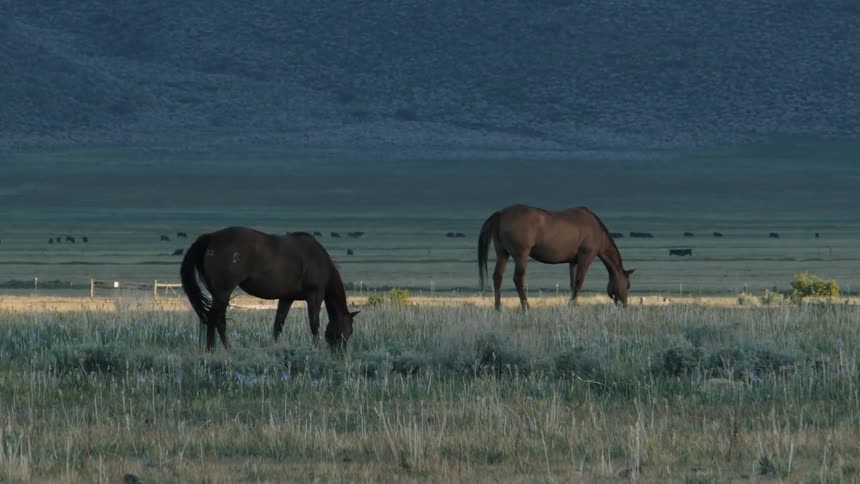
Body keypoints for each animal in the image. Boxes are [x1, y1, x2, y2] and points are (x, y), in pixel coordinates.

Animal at [180, 227, 359, 352]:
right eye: (348, 331)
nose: (341, 353)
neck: (320, 262)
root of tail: (211, 237)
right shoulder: (314, 296)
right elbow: (314, 324)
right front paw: (316, 349)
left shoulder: (287, 298)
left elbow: (278, 325)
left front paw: (273, 347)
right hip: (223, 292)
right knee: (214, 318)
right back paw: (216, 349)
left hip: (219, 294)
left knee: (217, 319)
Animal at [478, 204, 635, 310]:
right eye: (627, 285)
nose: (625, 306)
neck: (596, 229)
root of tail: (501, 213)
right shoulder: (586, 258)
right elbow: (579, 281)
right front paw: (572, 304)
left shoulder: (573, 262)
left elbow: (573, 283)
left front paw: (572, 303)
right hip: (521, 255)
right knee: (518, 279)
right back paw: (526, 307)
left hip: (502, 253)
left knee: (497, 277)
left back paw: (498, 308)